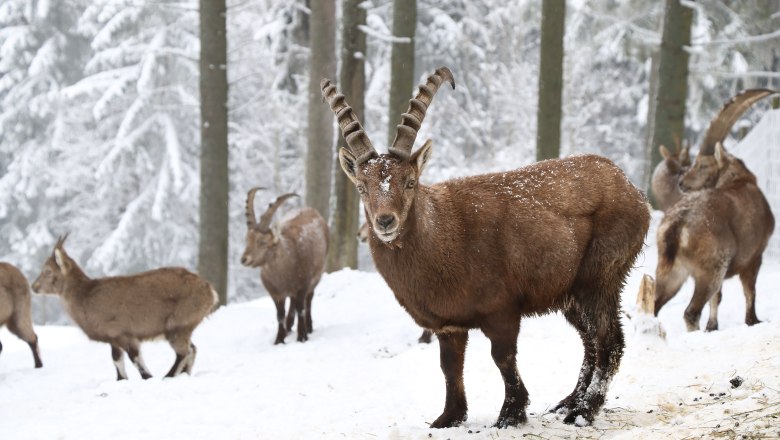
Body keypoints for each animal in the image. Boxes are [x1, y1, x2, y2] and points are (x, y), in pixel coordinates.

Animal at [32, 237, 218, 378]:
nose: (34, 287)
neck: (85, 298)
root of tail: (209, 291)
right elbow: (117, 362)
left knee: (184, 352)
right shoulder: (113, 339)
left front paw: (148, 377)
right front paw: (122, 380)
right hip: (183, 327)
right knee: (192, 349)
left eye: (47, 271)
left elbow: (135, 360)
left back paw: (168, 376)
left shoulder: (124, 334)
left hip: (177, 325)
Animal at [239, 188, 328, 344]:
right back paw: (289, 326)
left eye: (262, 241)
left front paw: (302, 336)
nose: (244, 259)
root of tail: (312, 210)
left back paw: (309, 326)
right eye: (247, 239)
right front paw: (279, 339)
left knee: (308, 301)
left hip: (316, 277)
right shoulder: (275, 293)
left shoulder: (303, 285)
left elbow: (301, 308)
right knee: (292, 303)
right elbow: (279, 314)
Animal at [320, 67, 648, 428]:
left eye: (410, 182)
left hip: (599, 277)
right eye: (362, 187)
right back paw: (567, 402)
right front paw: (448, 417)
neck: (444, 239)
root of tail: (632, 189)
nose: (385, 222)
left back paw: (583, 411)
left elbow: (502, 357)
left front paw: (511, 413)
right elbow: (449, 366)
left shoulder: (501, 310)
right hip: (570, 293)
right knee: (590, 342)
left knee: (609, 342)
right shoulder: (448, 324)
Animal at [652, 143, 772, 332]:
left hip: (670, 268)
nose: (682, 182)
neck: (739, 180)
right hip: (712, 266)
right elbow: (750, 291)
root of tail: (677, 224)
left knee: (653, 304)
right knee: (690, 312)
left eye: (703, 165)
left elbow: (717, 298)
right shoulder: (754, 255)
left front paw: (712, 326)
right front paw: (753, 320)